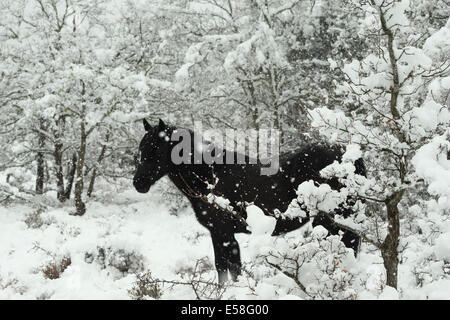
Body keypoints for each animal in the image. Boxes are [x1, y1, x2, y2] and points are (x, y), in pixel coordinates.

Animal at [134, 119, 366, 282]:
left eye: (155, 150)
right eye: (141, 148)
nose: (138, 183)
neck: (211, 177)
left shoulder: (225, 234)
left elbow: (233, 269)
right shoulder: (217, 233)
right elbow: (222, 267)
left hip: (333, 221)